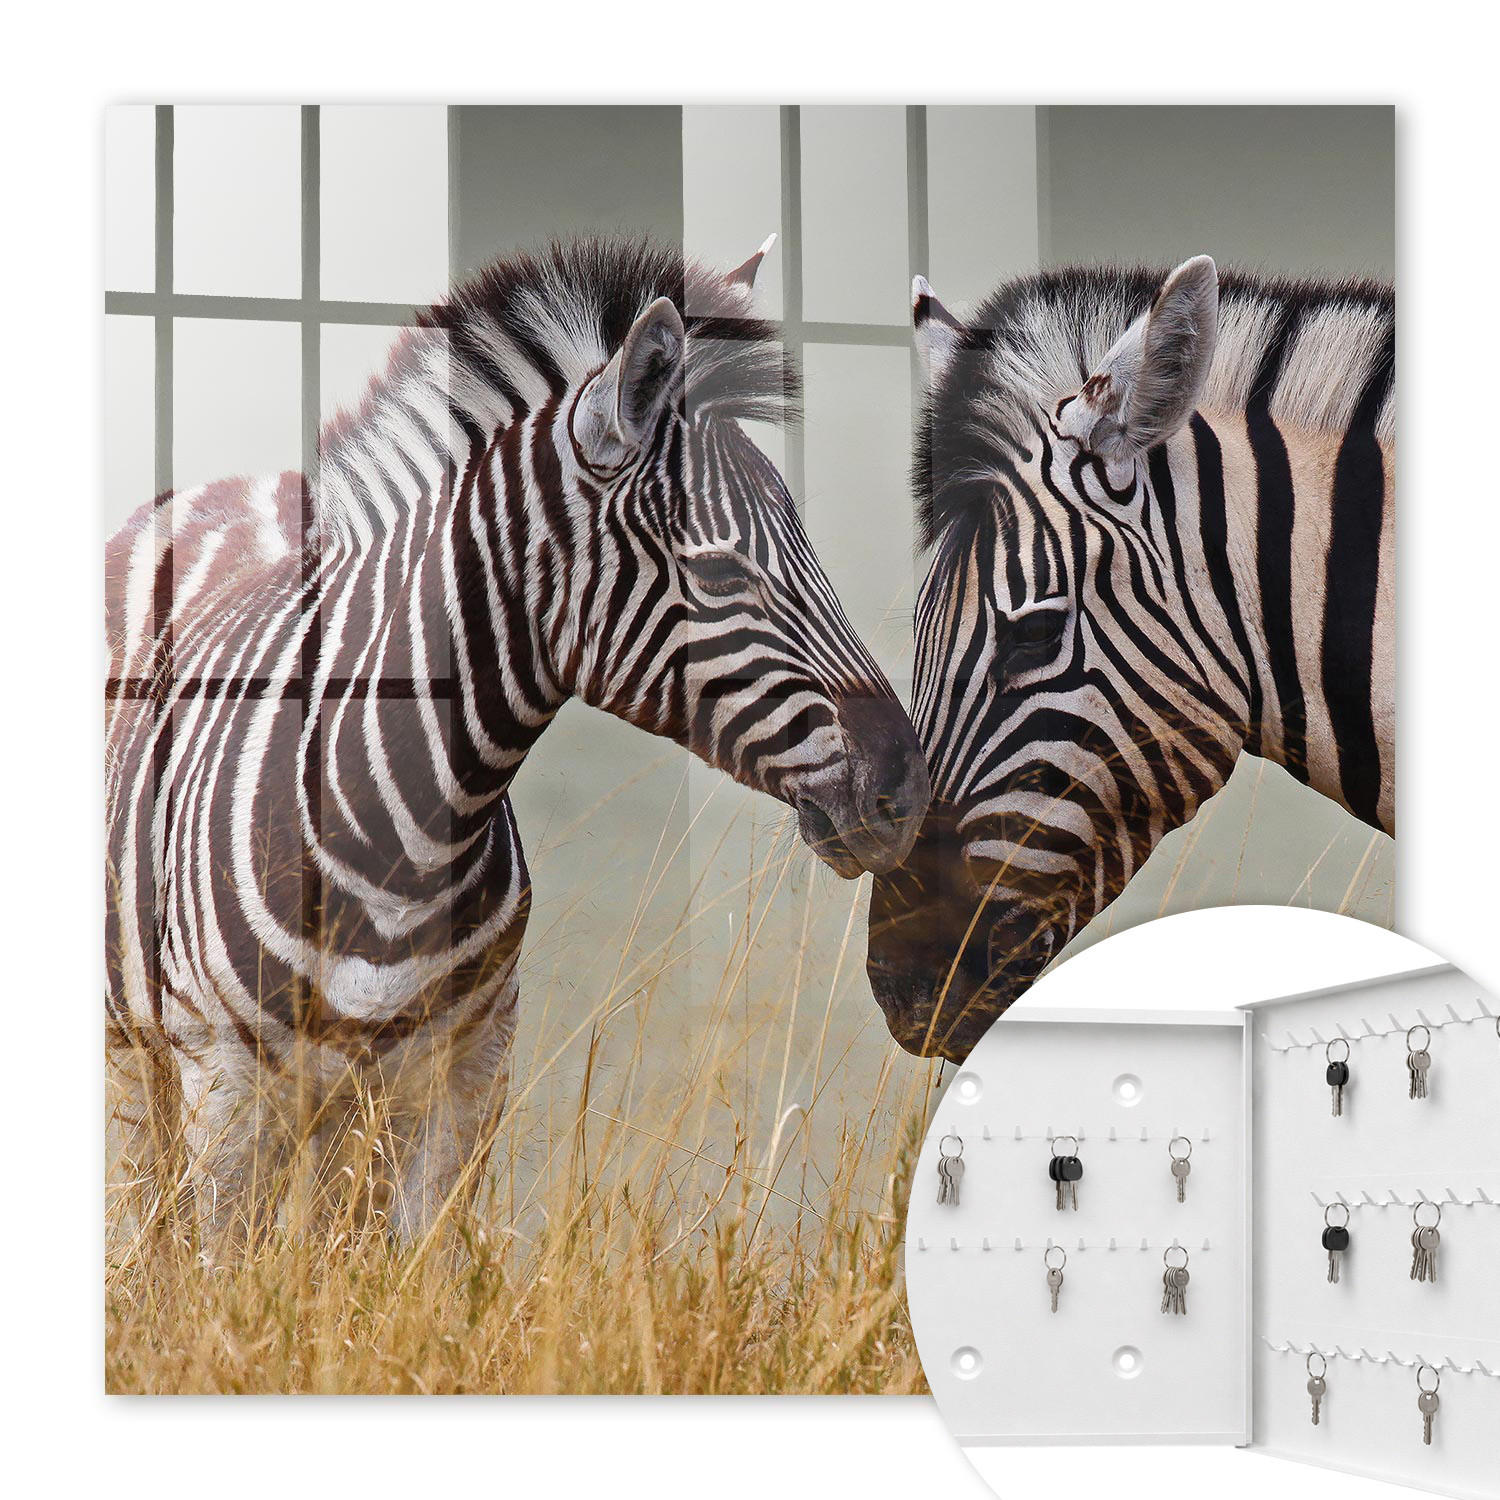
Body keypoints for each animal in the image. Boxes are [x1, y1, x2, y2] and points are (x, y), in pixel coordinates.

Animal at [106, 235, 929, 1248]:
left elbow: (414, 1271)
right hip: (145, 1056)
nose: (904, 789)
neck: (401, 835)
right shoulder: (226, 1083)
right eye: (720, 574)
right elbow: (221, 1270)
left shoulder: (468, 1071)